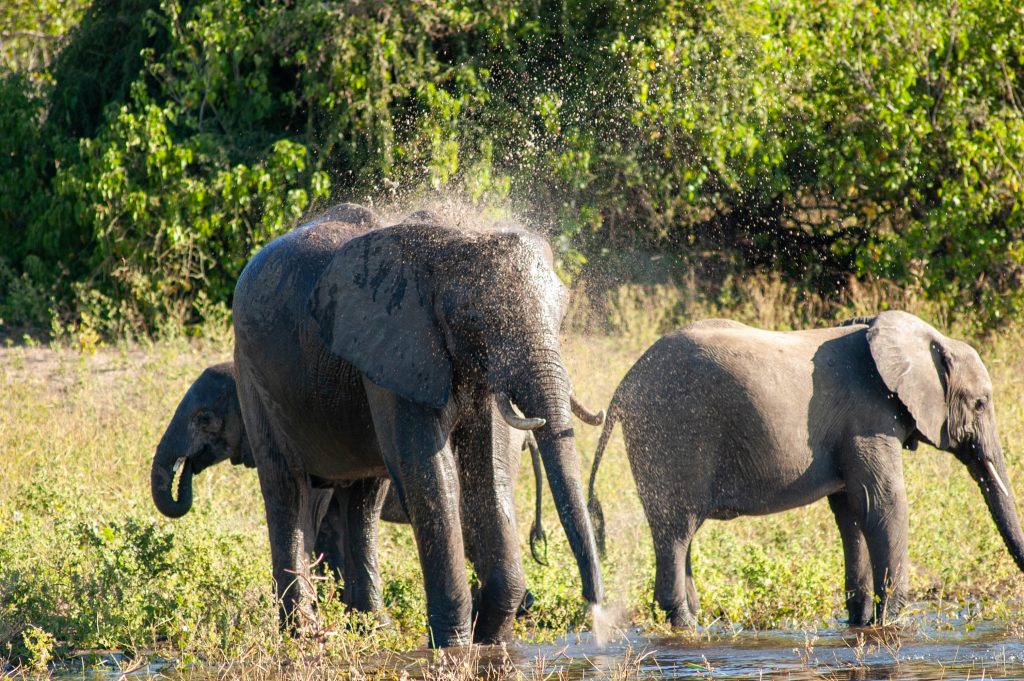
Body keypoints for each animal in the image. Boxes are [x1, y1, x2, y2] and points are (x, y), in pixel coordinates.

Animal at [216, 205, 602, 646]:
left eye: (562, 313)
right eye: (474, 317)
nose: (596, 607)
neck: (455, 238)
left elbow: (490, 474)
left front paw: (492, 641)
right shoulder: (396, 350)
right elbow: (431, 477)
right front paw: (454, 645)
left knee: (364, 500)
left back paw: (372, 627)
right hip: (252, 374)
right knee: (287, 488)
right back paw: (304, 634)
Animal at [587, 311, 1024, 628]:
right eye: (981, 403)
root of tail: (626, 381)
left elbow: (851, 511)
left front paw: (862, 623)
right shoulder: (868, 417)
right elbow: (882, 504)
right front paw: (888, 623)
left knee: (678, 533)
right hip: (671, 430)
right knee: (676, 531)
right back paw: (684, 626)